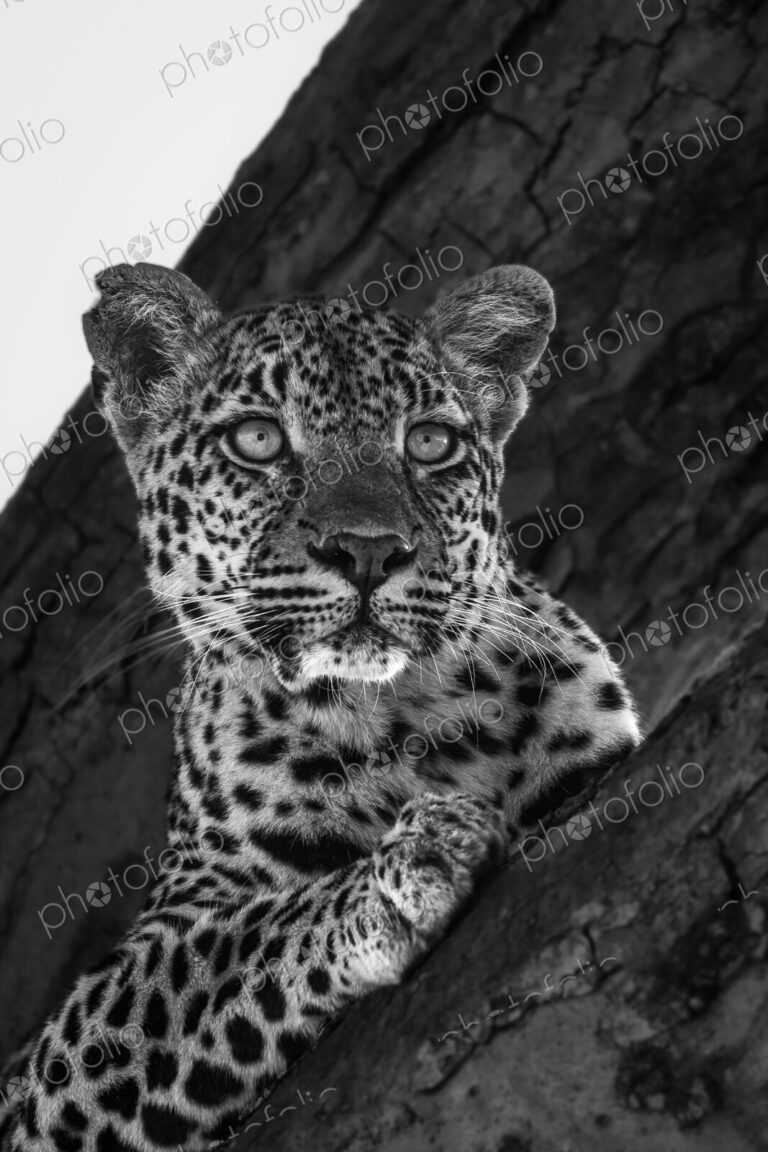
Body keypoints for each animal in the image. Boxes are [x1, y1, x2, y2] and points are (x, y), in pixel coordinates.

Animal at [0, 261, 641, 1151]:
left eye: (430, 443)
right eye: (258, 440)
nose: (368, 550)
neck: (410, 717)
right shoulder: (52, 1075)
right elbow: (219, 950)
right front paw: (405, 869)